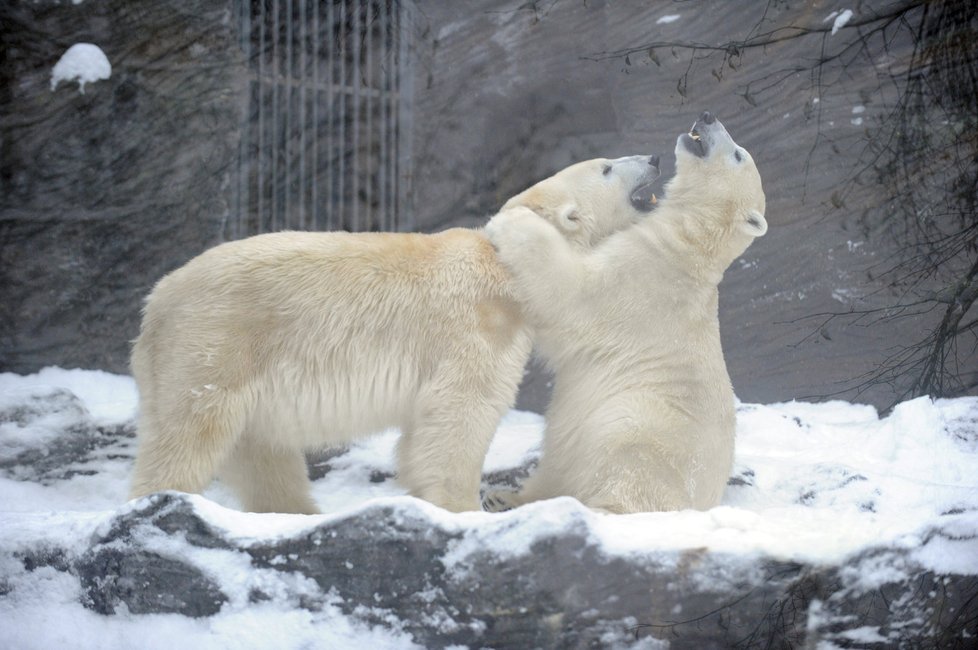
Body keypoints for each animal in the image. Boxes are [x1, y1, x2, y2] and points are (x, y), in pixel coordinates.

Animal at [130, 153, 660, 512]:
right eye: (607, 167)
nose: (654, 159)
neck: (506, 264)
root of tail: (156, 301)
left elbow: (421, 430)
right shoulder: (477, 325)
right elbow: (461, 412)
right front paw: (464, 506)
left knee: (261, 451)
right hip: (216, 341)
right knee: (190, 434)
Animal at [484, 114, 768, 512]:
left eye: (739, 154)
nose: (708, 117)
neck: (686, 244)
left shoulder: (637, 280)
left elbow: (570, 292)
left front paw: (511, 219)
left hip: (648, 428)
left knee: (621, 448)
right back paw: (506, 496)